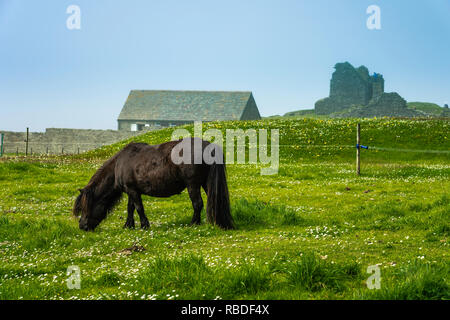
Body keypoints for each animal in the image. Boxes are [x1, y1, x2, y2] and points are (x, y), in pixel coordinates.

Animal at [72, 138, 234, 230]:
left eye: (86, 207)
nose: (82, 226)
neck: (120, 163)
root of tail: (209, 146)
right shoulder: (131, 191)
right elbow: (130, 208)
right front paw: (128, 226)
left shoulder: (132, 191)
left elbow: (138, 208)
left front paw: (144, 225)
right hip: (206, 184)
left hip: (192, 185)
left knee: (197, 203)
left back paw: (194, 223)